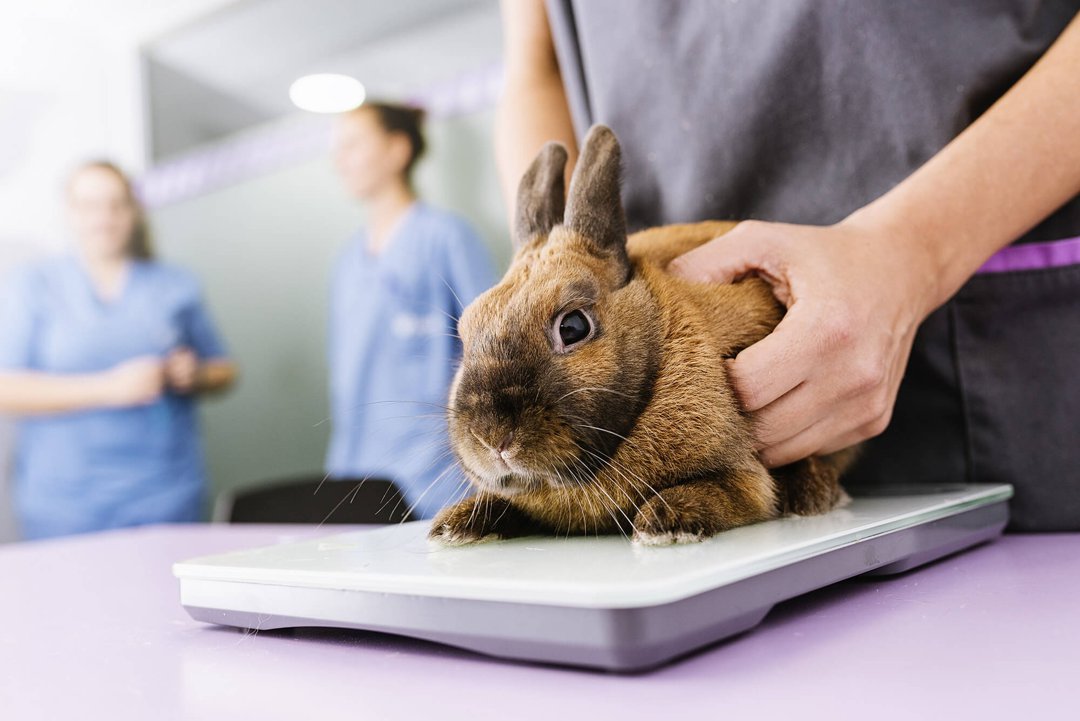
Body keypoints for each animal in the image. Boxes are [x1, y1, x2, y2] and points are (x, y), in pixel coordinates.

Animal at [427, 125, 851, 546]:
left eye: (572, 327)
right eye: (466, 332)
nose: (492, 439)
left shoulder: (744, 480)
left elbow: (727, 492)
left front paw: (663, 523)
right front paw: (454, 525)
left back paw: (813, 495)